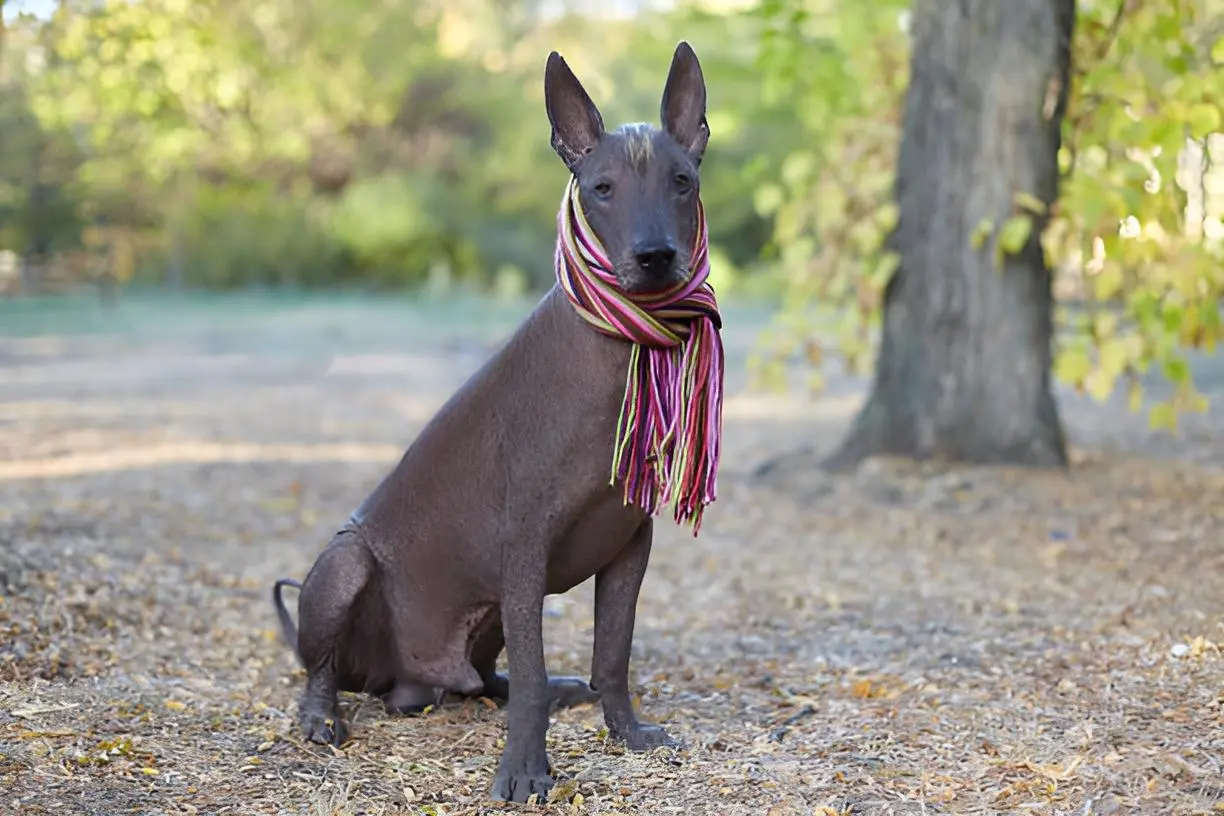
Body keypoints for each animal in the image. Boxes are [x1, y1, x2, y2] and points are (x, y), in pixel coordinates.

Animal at [272, 39, 719, 802]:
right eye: (602, 188)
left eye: (682, 181)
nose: (656, 255)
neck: (617, 343)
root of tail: (405, 681)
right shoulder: (526, 550)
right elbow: (537, 678)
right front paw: (525, 770)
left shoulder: (629, 546)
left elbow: (613, 657)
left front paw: (625, 734)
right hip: (345, 564)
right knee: (323, 667)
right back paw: (321, 716)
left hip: (484, 625)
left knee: (486, 682)